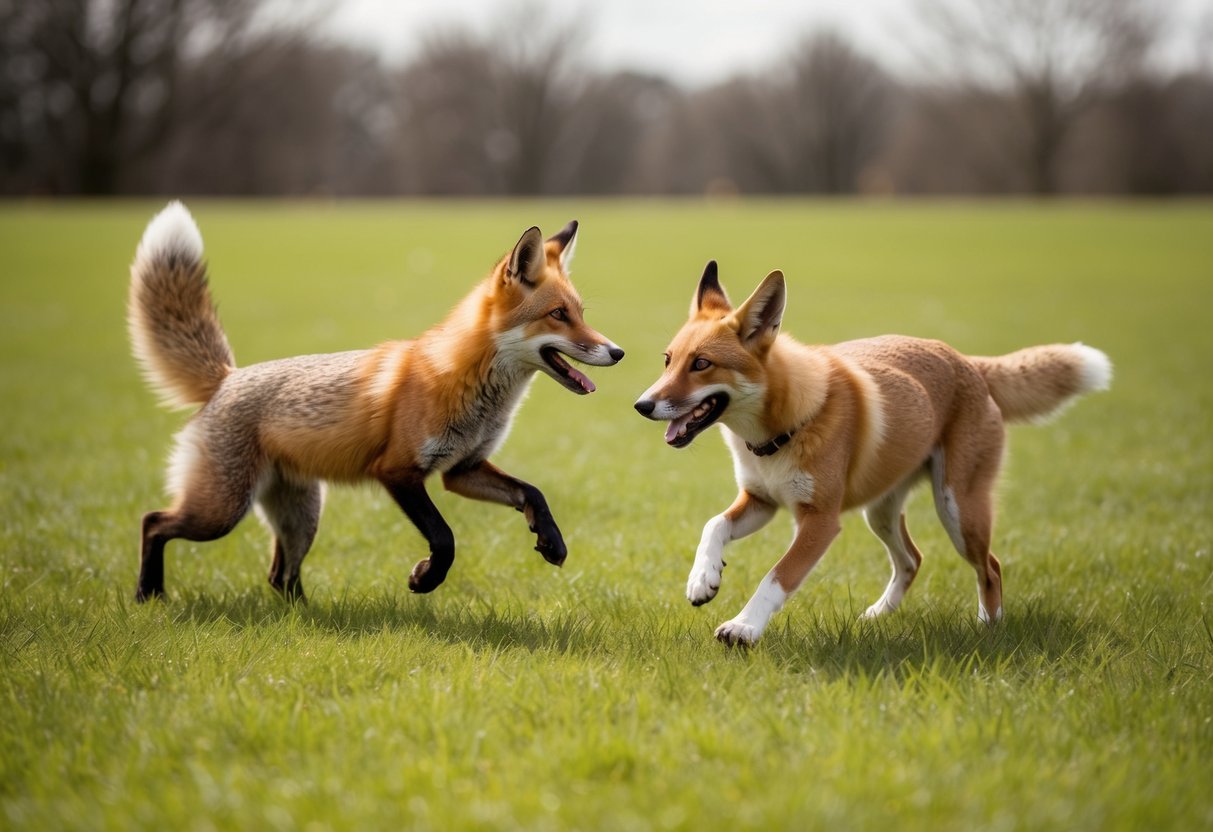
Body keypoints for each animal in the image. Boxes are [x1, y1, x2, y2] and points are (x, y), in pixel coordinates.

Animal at [128, 202, 623, 602]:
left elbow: (532, 492)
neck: (469, 387)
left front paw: (551, 540)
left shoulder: (462, 470)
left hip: (300, 516)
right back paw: (148, 594)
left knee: (279, 576)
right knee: (154, 521)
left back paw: (306, 617)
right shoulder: (398, 471)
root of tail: (226, 377)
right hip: (223, 511)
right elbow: (444, 538)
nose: (617, 352)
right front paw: (425, 579)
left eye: (581, 313)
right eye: (558, 315)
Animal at [634, 261, 1111, 646]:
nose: (642, 405)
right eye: (668, 360)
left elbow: (776, 577)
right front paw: (703, 579)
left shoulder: (819, 521)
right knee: (912, 560)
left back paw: (988, 628)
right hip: (880, 513)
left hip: (958, 511)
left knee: (990, 567)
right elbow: (712, 526)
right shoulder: (761, 500)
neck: (782, 432)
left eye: (701, 364)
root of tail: (967, 361)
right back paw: (877, 617)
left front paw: (744, 628)